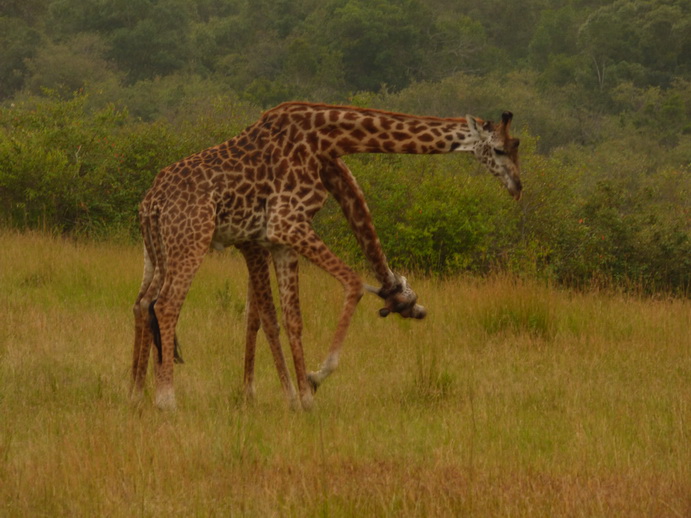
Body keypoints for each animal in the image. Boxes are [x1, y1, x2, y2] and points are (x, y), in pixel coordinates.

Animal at [130, 100, 520, 410]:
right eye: (501, 149)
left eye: (518, 147)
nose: (517, 186)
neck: (326, 137)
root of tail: (151, 202)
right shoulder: (285, 224)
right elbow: (350, 284)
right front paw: (313, 380)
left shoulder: (278, 239)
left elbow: (290, 318)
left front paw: (302, 398)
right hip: (191, 242)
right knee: (166, 305)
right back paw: (166, 399)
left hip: (160, 252)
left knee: (143, 303)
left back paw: (136, 394)